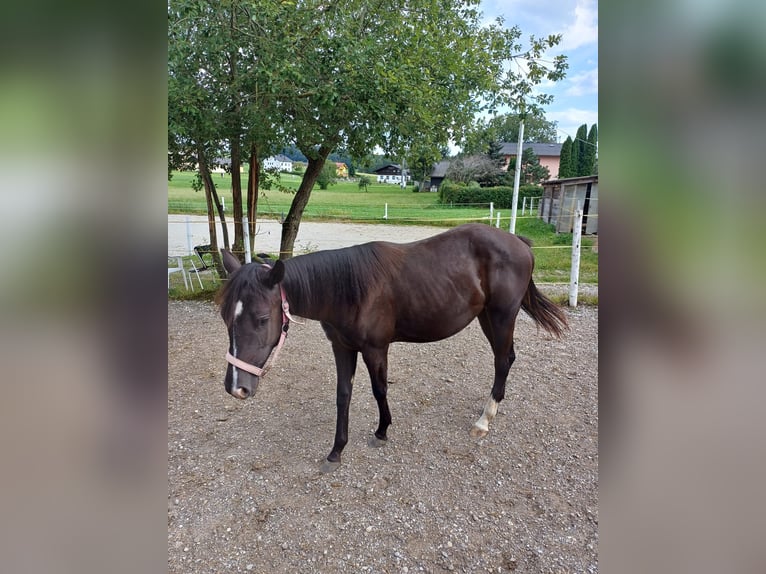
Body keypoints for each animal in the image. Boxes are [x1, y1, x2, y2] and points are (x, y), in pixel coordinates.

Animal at [216, 223, 568, 474]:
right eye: (225, 316)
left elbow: (379, 389)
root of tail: (519, 242)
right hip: (486, 316)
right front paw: (336, 450)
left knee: (502, 360)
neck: (348, 290)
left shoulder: (375, 348)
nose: (236, 388)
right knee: (506, 358)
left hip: (502, 315)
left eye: (262, 318)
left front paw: (382, 430)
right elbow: (343, 395)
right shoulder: (342, 347)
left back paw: (485, 418)